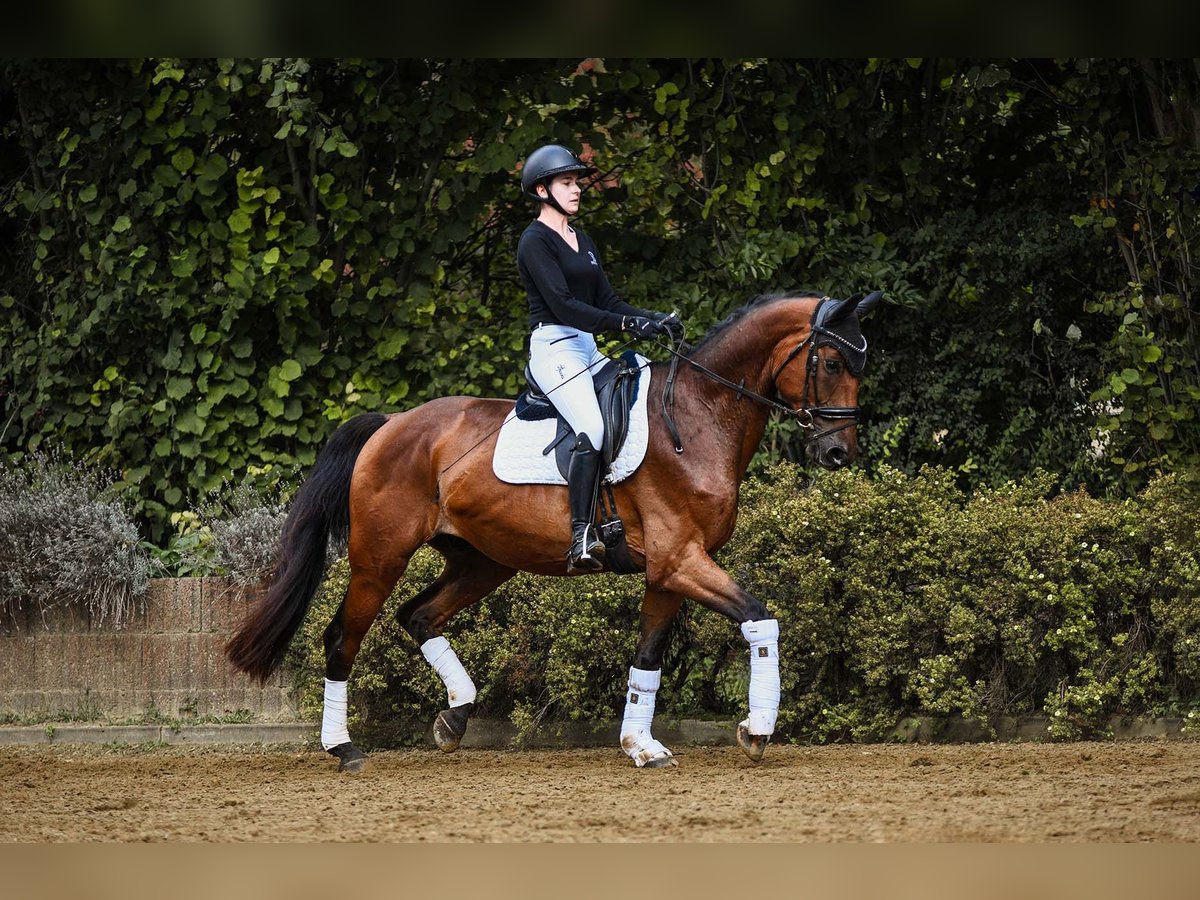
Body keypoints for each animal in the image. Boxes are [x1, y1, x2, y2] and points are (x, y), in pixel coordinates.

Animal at [229, 292, 883, 772]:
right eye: (830, 363)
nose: (838, 454)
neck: (697, 417)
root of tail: (392, 423)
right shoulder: (680, 561)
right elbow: (760, 617)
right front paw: (756, 730)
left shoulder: (668, 571)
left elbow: (647, 658)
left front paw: (640, 745)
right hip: (379, 558)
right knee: (344, 638)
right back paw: (344, 749)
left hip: (483, 561)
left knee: (419, 615)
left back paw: (454, 718)